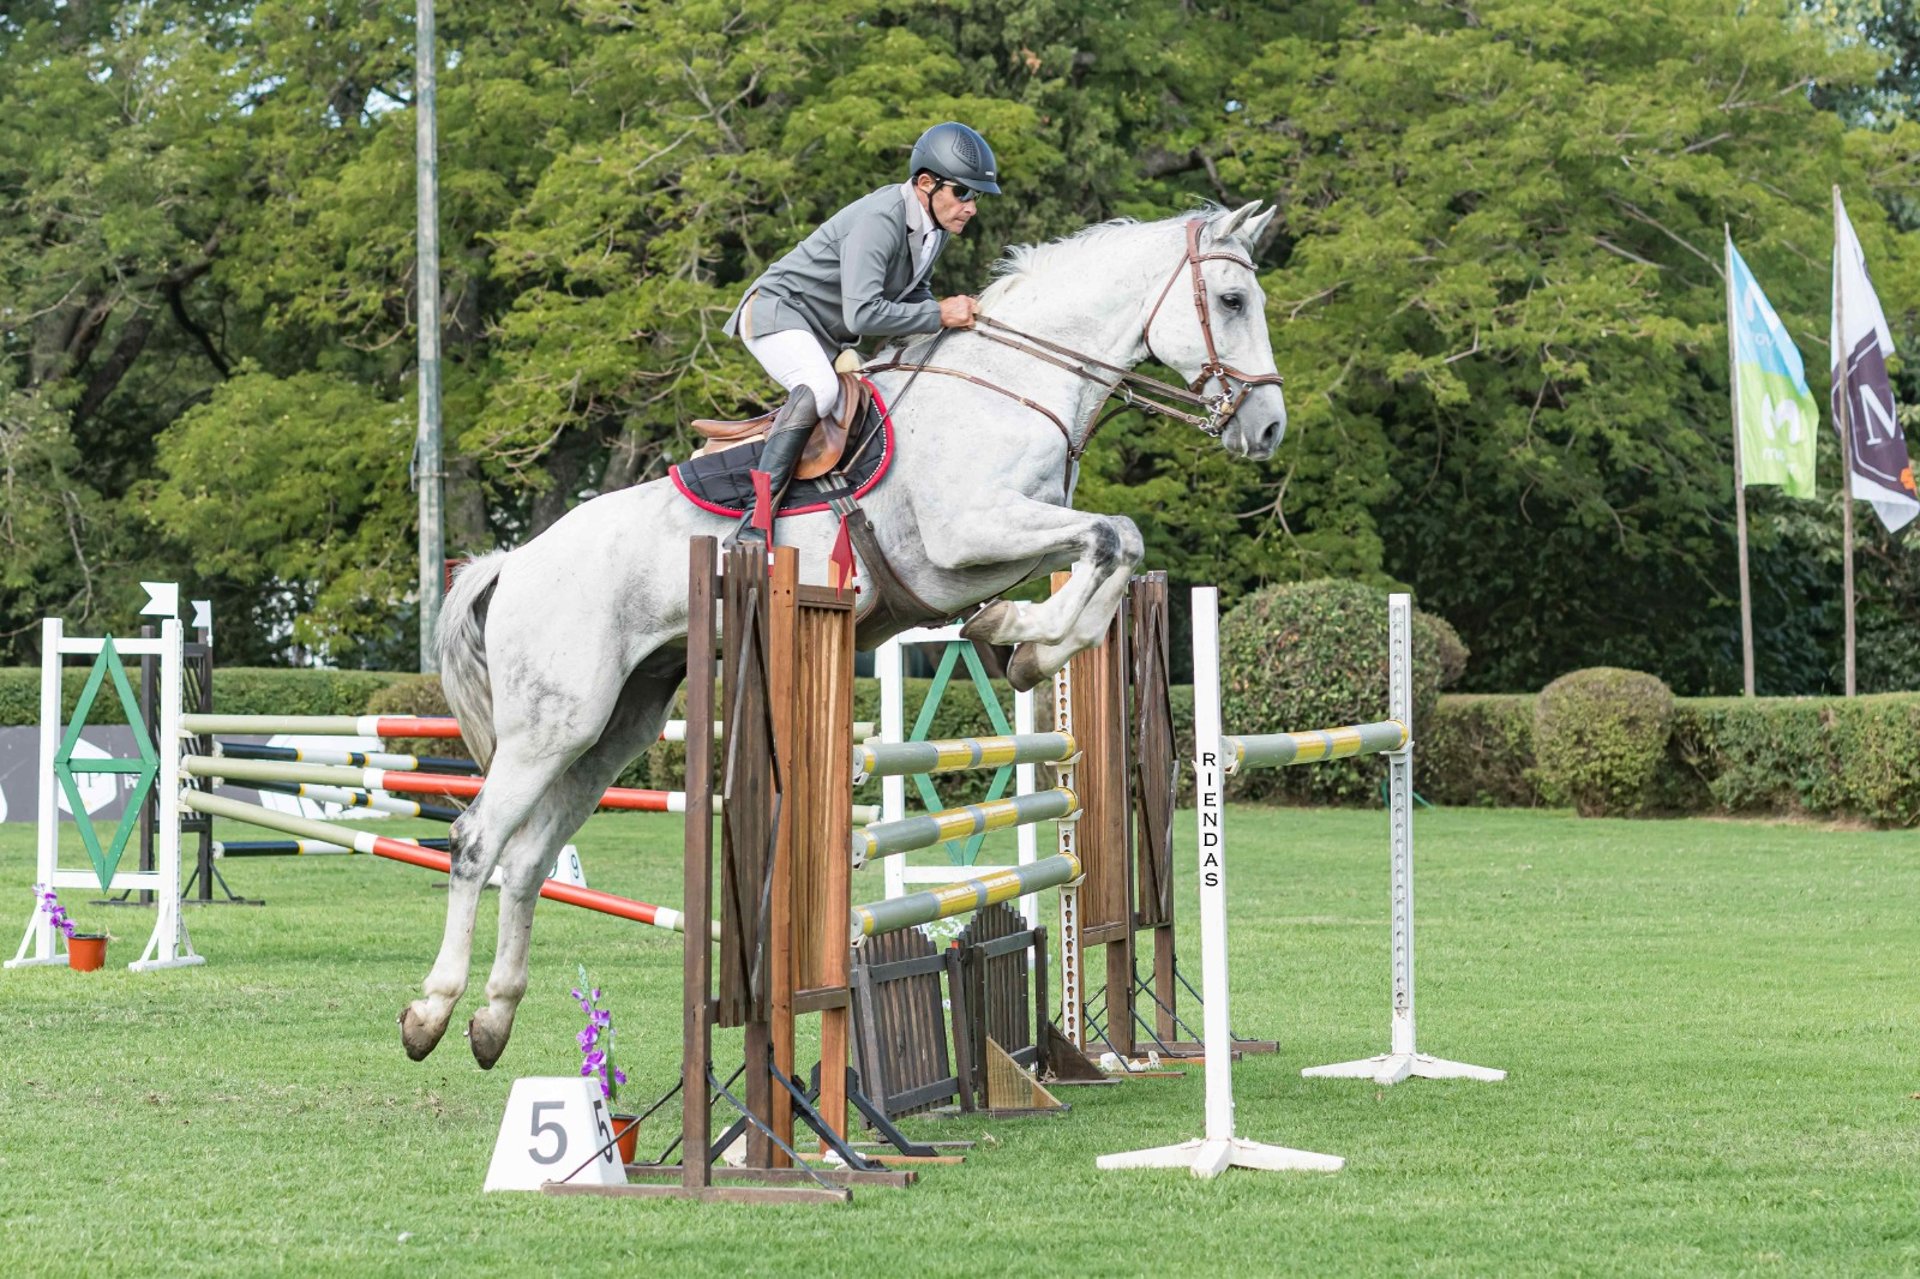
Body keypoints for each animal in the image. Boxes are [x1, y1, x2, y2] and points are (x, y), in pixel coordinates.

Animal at [408, 199, 1290, 1067]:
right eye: (1232, 301)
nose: (1270, 430)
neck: (1010, 387)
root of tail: (515, 561)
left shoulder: (1005, 543)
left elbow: (1115, 545)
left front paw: (1022, 643)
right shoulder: (968, 534)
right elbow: (1112, 535)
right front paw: (1024, 638)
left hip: (616, 725)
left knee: (526, 859)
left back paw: (492, 1022)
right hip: (554, 723)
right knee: (477, 842)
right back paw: (431, 1013)